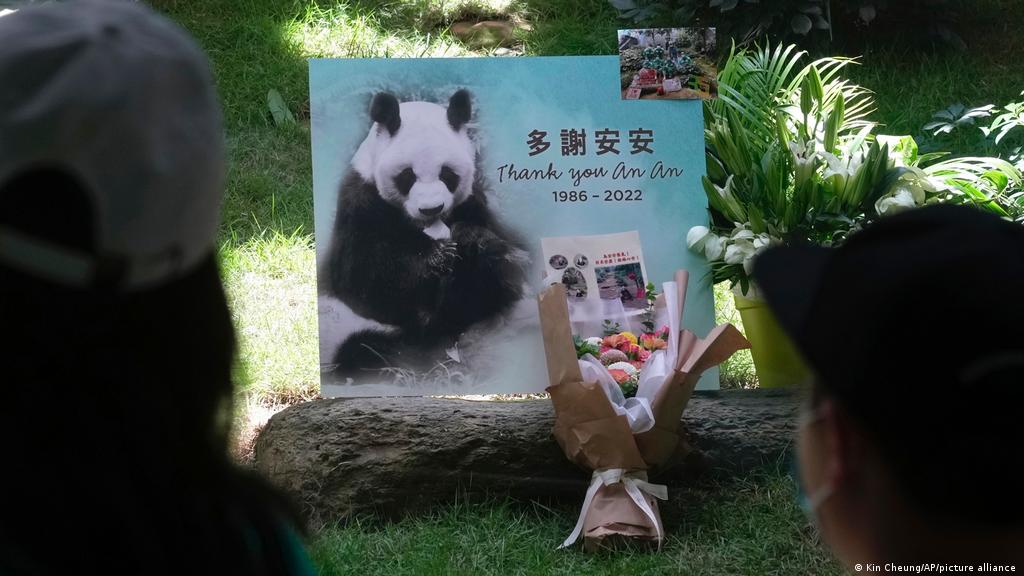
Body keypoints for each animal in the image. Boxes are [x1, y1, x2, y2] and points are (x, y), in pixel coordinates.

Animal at [325, 89, 528, 379]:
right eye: (407, 176)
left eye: (447, 174)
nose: (431, 209)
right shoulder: (360, 203)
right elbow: (362, 278)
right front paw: (439, 256)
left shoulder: (475, 205)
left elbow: (502, 270)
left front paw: (471, 242)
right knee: (365, 347)